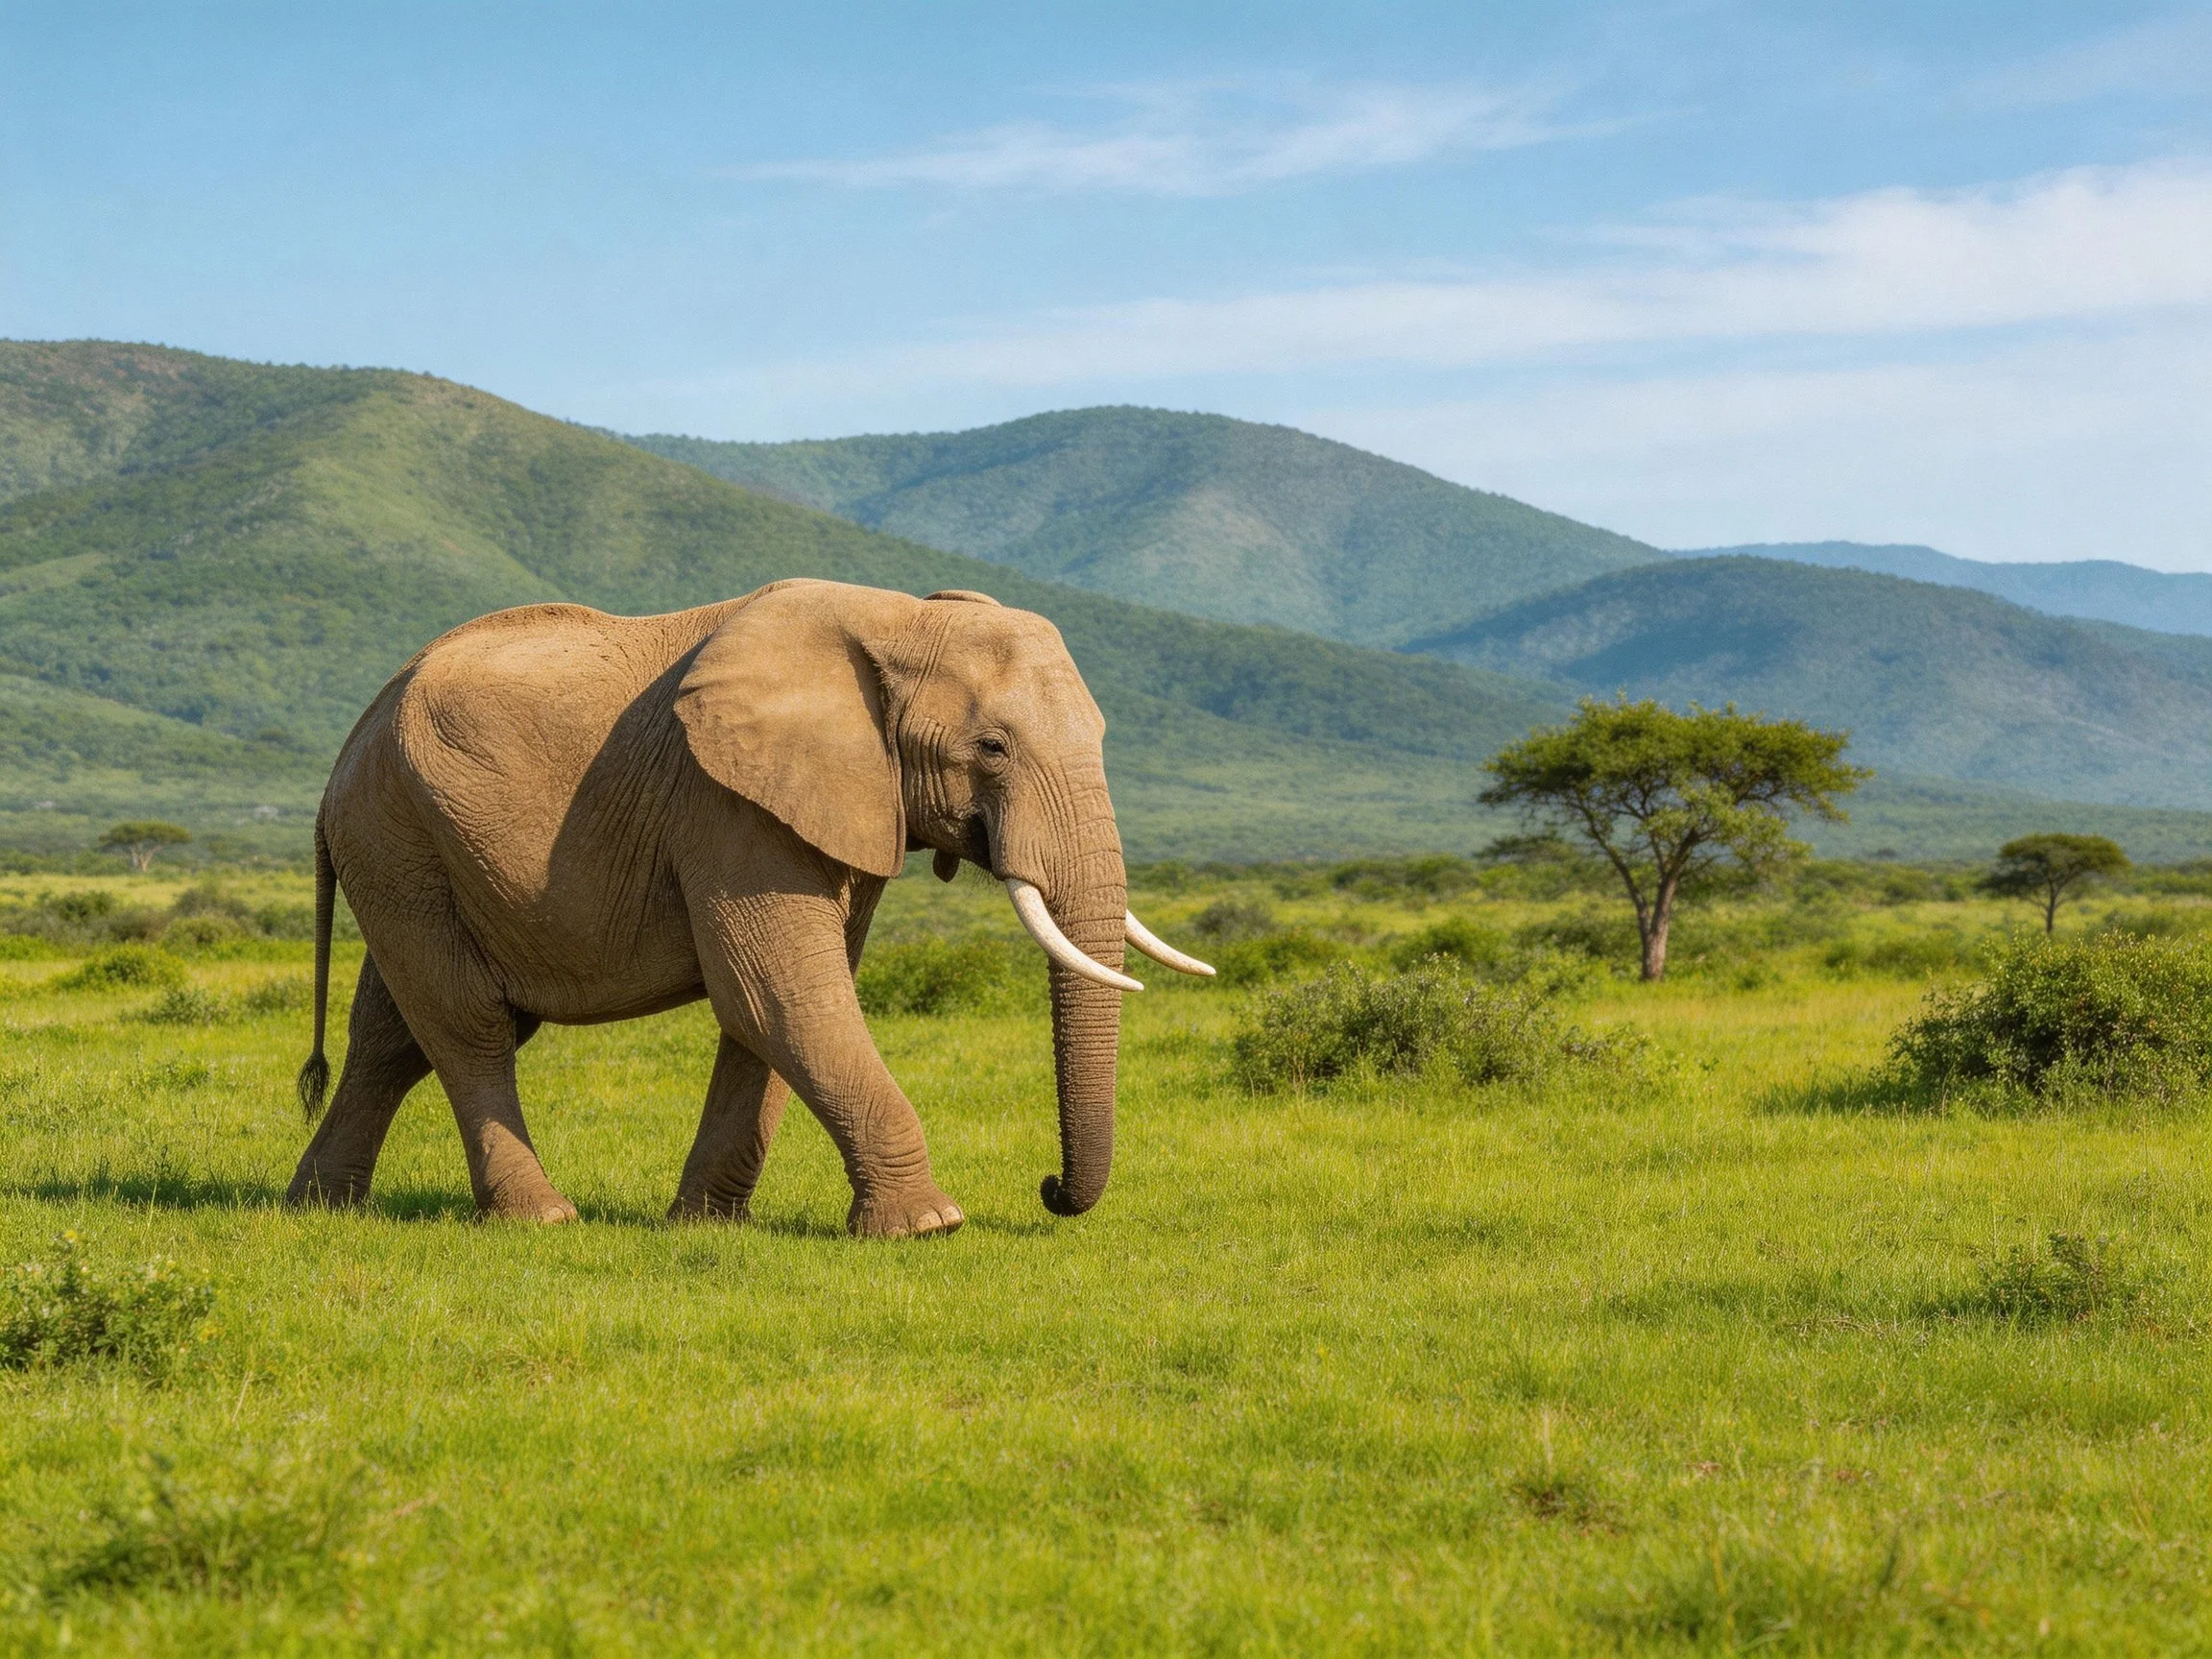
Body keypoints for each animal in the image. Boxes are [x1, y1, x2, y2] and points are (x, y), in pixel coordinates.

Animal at [285, 578, 1214, 1238]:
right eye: (991, 747)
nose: (1049, 1188)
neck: (899, 619)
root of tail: (347, 745)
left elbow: (774, 1008)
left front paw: (705, 1225)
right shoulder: (728, 803)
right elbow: (783, 996)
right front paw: (931, 1226)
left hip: (404, 845)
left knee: (392, 1036)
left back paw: (317, 1209)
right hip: (394, 829)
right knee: (469, 1025)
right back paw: (540, 1218)